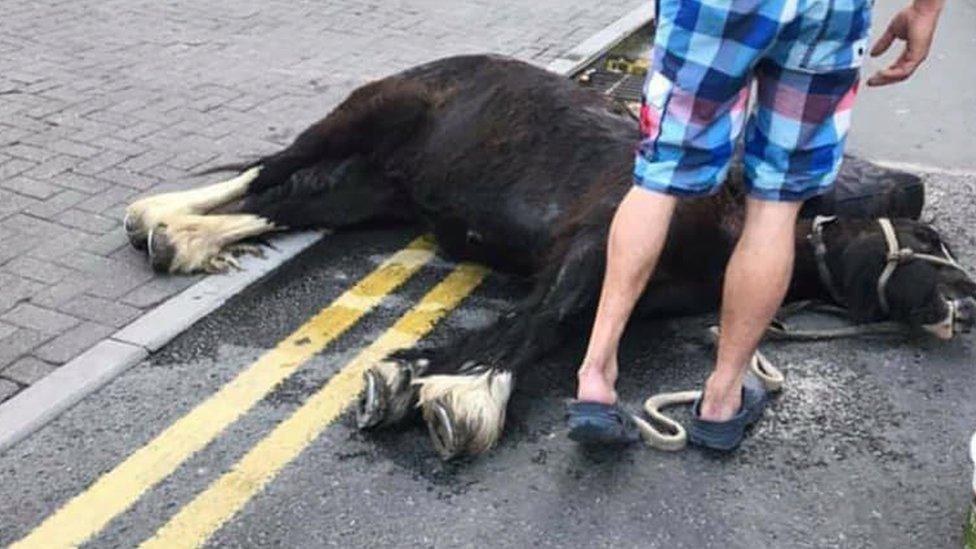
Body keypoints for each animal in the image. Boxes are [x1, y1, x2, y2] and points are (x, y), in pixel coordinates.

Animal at [124, 54, 976, 458]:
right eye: (928, 242)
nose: (966, 303)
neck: (729, 215)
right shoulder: (595, 244)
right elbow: (545, 324)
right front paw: (459, 398)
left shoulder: (612, 280)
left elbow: (539, 325)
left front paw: (418, 377)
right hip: (365, 119)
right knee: (267, 174)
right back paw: (161, 218)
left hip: (373, 190)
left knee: (287, 199)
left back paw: (183, 235)